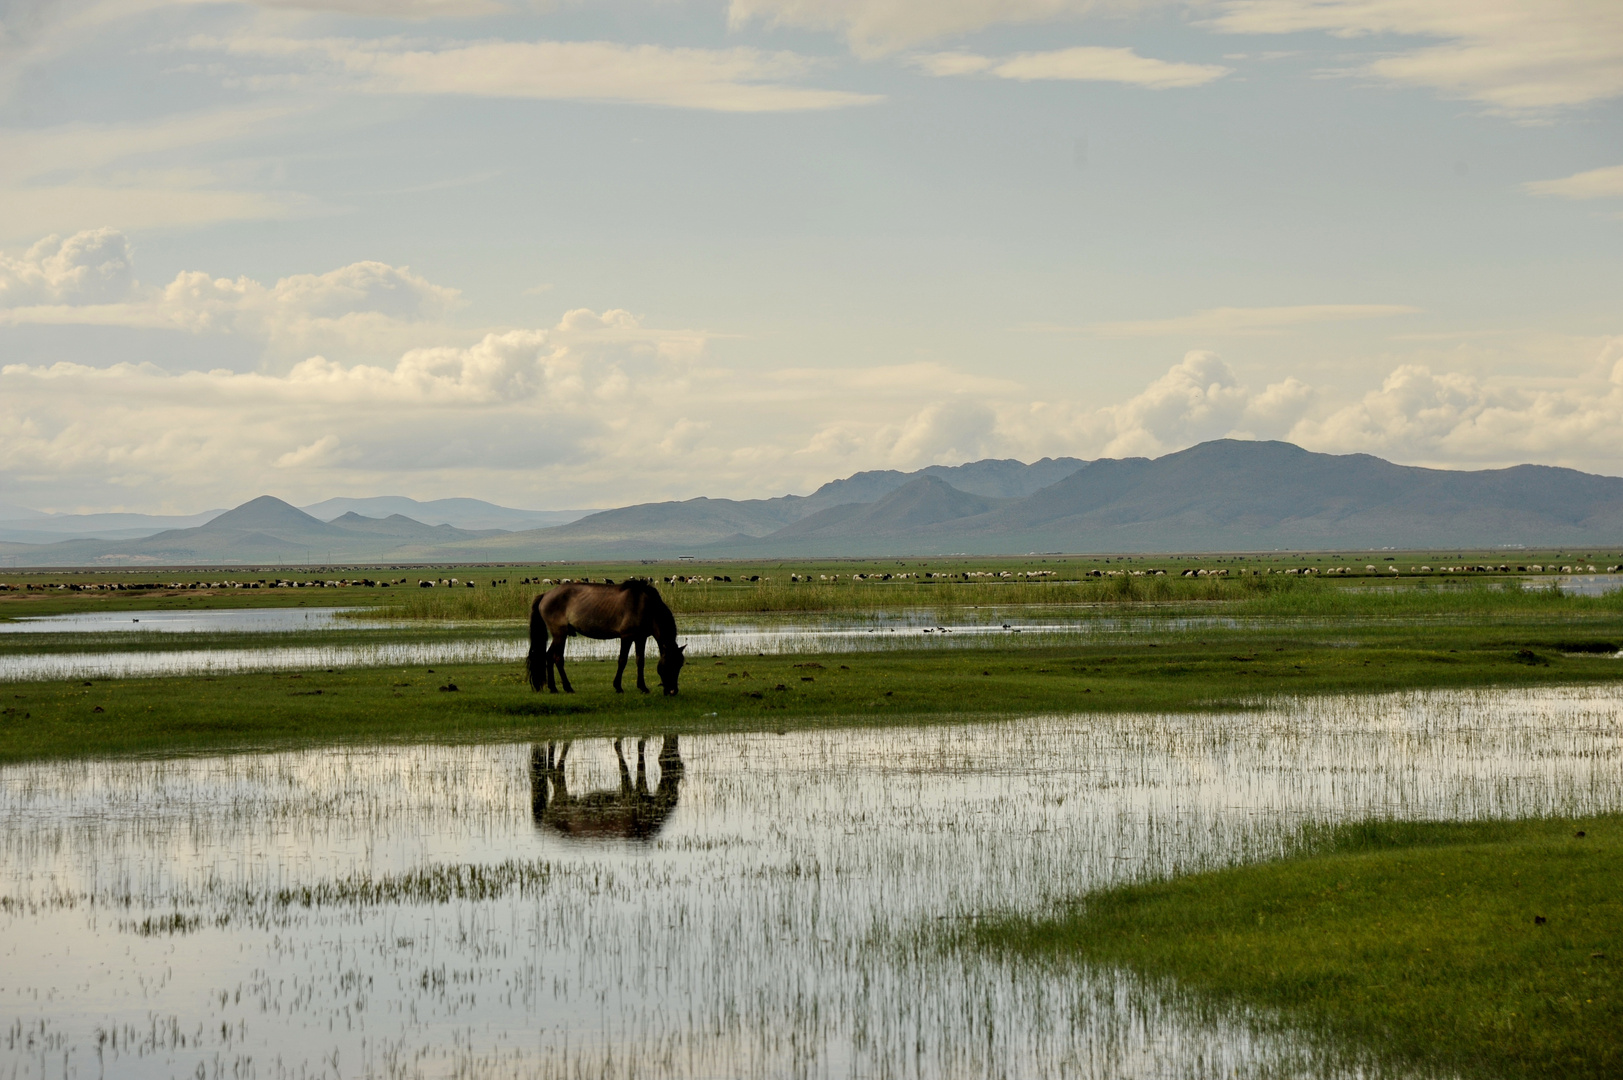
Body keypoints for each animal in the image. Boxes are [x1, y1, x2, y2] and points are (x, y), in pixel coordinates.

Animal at [532, 581, 684, 691]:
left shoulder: (641, 638)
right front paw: (618, 686)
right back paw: (568, 687)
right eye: (669, 664)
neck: (646, 606)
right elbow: (622, 660)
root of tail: (545, 595)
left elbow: (640, 661)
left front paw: (643, 687)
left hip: (558, 635)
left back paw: (553, 688)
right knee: (557, 658)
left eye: (680, 665)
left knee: (549, 656)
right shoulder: (627, 637)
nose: (673, 691)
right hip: (560, 634)